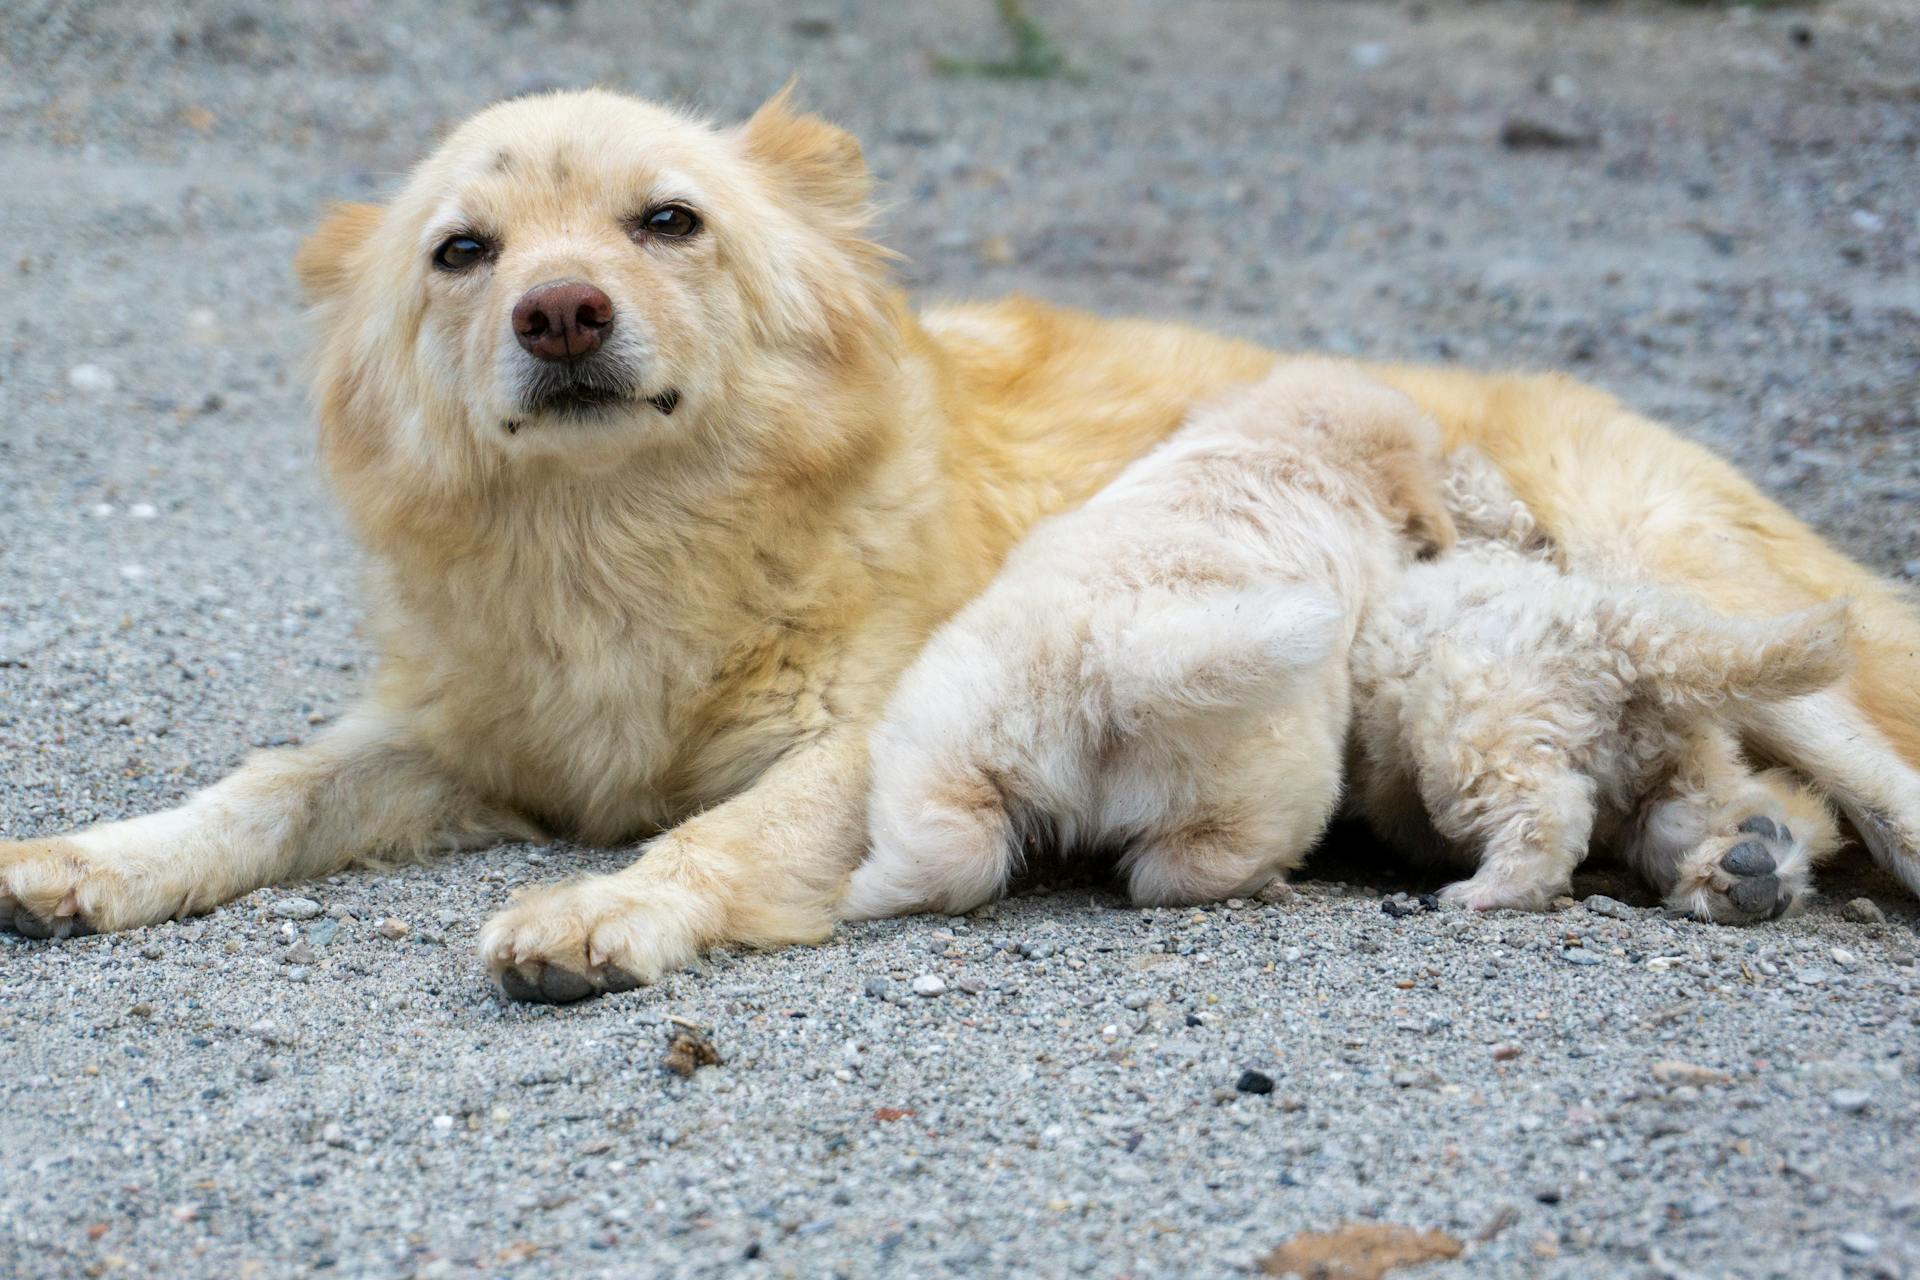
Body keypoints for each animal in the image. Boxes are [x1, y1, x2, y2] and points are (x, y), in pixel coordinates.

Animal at [840, 362, 1451, 921]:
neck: (1292, 447)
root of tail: (1115, 669)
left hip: (947, 741)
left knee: (945, 854)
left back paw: (856, 896)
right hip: (1257, 794)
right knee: (1184, 873)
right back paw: (1270, 881)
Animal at [1344, 450, 1850, 921]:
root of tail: (1627, 638)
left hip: (1474, 735)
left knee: (1548, 814)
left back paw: (1489, 890)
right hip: (1678, 757)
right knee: (1687, 817)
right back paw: (1750, 865)